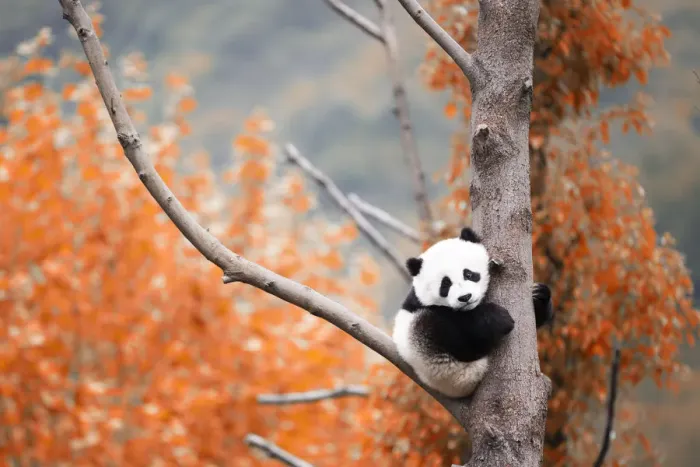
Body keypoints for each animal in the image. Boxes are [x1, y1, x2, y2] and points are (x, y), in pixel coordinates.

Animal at [392, 226, 553, 398]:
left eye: (468, 274)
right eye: (445, 285)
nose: (465, 297)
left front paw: (539, 295)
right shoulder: (421, 308)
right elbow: (463, 333)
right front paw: (497, 318)